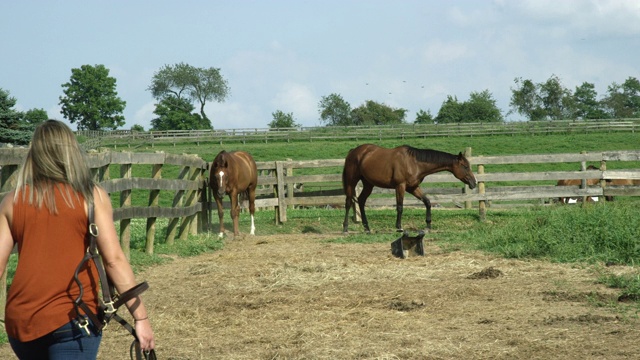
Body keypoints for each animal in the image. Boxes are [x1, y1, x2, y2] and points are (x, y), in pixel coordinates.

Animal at [342, 143, 478, 233]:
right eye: (465, 166)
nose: (474, 182)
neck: (414, 163)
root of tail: (354, 151)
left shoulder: (412, 187)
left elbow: (427, 202)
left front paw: (428, 225)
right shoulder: (400, 186)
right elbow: (400, 207)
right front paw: (399, 227)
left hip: (368, 184)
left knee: (361, 201)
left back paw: (367, 228)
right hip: (351, 181)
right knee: (348, 202)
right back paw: (345, 228)